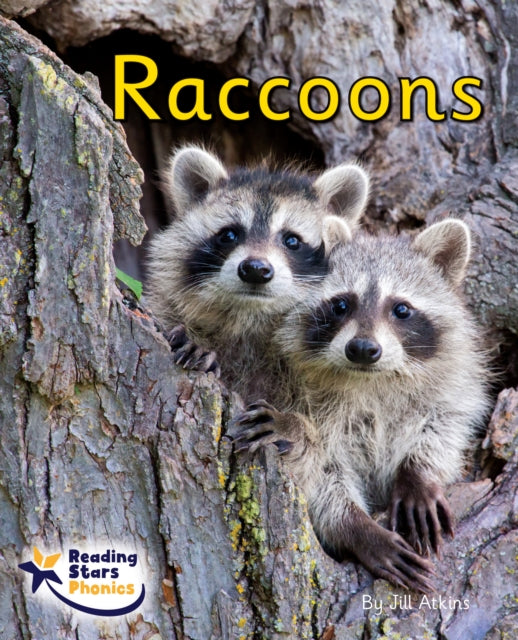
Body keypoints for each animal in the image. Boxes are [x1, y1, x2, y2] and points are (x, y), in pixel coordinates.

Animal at [231, 220, 490, 591]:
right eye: (341, 305)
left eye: (401, 309)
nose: (363, 349)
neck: (372, 380)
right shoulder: (288, 386)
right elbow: (323, 475)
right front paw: (356, 527)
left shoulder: (451, 382)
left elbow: (446, 422)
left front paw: (418, 474)